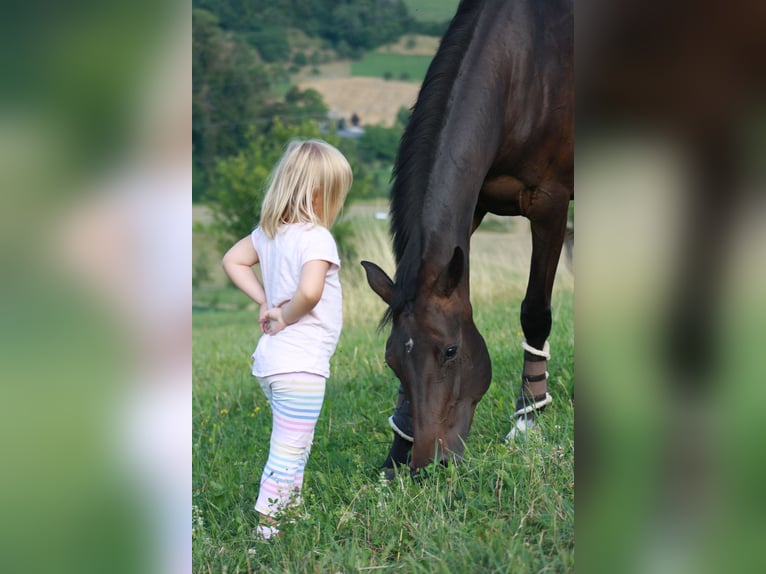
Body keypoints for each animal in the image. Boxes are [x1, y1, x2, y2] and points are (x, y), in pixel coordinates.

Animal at [364, 0, 572, 472]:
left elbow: (535, 312)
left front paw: (526, 421)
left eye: (450, 351)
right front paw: (396, 448)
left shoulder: (549, 203)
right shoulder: (473, 206)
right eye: (391, 360)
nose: (429, 462)